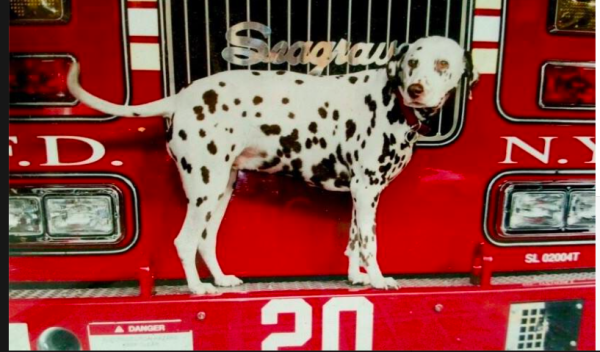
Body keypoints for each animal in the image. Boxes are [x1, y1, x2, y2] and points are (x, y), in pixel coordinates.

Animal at [67, 35, 478, 294]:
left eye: (442, 63)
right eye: (412, 63)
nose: (416, 89)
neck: (392, 99)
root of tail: (181, 97)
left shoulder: (359, 195)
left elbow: (353, 241)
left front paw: (356, 277)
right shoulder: (366, 191)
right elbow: (370, 243)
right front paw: (378, 279)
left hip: (220, 191)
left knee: (205, 242)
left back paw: (220, 279)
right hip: (204, 190)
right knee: (185, 242)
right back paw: (198, 288)